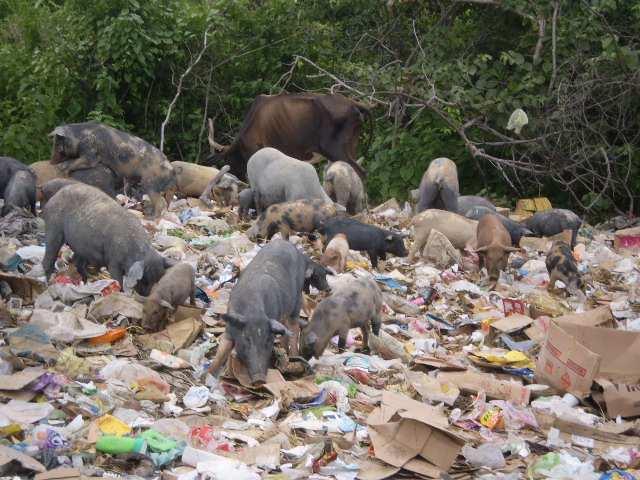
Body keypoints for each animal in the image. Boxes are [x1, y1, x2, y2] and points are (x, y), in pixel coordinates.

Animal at [42, 184, 172, 296]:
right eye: (144, 279)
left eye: (157, 280)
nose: (146, 295)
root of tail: (52, 199)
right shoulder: (113, 262)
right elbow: (118, 280)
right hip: (53, 229)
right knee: (48, 259)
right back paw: (49, 285)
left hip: (80, 246)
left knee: (77, 263)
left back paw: (88, 281)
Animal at [48, 122, 176, 218]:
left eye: (57, 143)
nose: (51, 162)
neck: (79, 137)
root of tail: (171, 169)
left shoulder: (89, 152)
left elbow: (81, 162)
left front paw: (63, 170)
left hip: (150, 183)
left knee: (159, 202)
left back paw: (150, 218)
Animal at [208, 240, 322, 386]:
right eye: (247, 338)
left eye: (268, 341)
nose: (259, 379)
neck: (254, 311)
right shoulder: (229, 329)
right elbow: (220, 353)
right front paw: (206, 376)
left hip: (297, 300)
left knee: (294, 328)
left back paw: (293, 359)